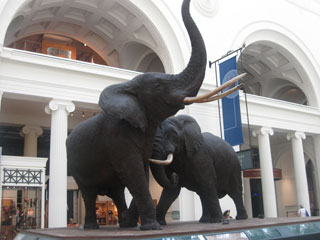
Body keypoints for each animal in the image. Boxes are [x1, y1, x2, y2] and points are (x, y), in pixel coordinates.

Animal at [67, 0, 242, 231]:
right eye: (158, 86)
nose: (175, 175)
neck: (128, 86)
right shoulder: (118, 136)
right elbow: (134, 172)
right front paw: (151, 227)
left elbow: (141, 172)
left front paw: (139, 223)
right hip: (76, 163)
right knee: (88, 192)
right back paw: (93, 228)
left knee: (116, 190)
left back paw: (124, 225)